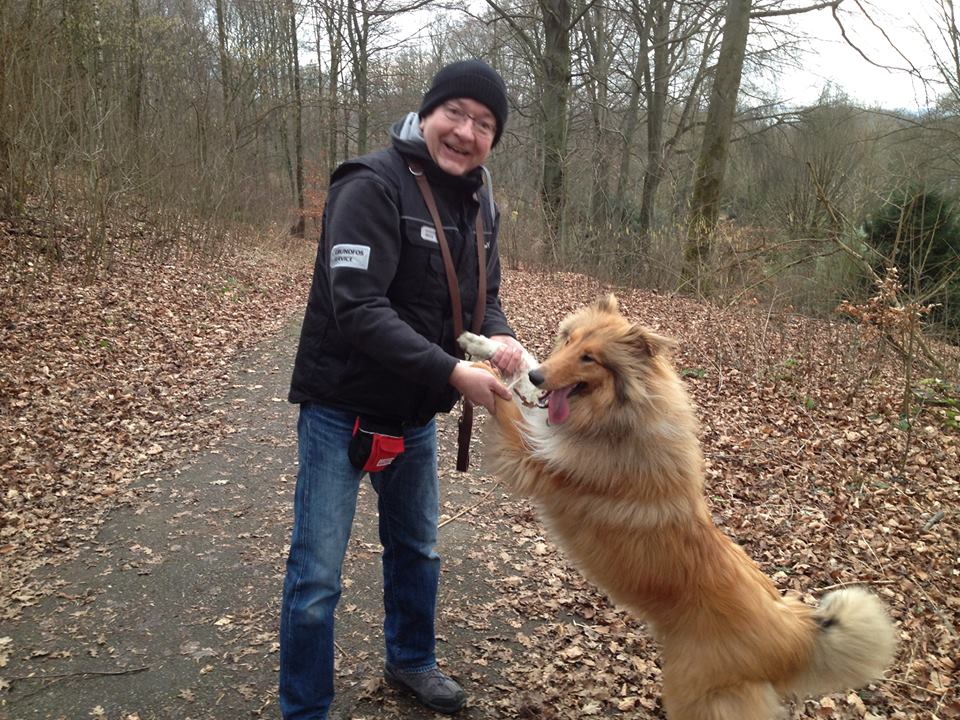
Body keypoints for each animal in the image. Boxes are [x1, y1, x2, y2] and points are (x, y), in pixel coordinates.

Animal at [458, 295, 896, 720]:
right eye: (570, 341)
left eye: (590, 358)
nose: (539, 378)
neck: (618, 420)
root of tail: (797, 632)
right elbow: (523, 369)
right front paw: (483, 346)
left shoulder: (531, 458)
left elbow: (507, 404)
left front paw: (474, 369)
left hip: (697, 697)